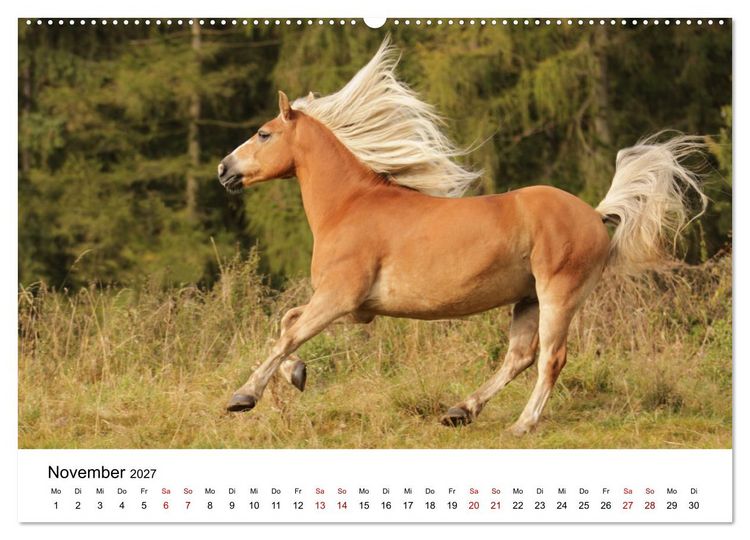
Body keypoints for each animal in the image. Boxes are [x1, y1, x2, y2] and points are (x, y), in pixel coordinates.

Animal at [216, 38, 707, 435]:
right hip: (527, 299)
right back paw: (460, 411)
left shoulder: (339, 297)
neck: (350, 205)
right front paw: (296, 375)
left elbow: (287, 334)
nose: (223, 169)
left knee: (551, 358)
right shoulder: (356, 309)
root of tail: (596, 213)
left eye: (263, 133)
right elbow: (288, 323)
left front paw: (243, 397)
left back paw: (521, 425)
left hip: (558, 295)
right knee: (520, 357)